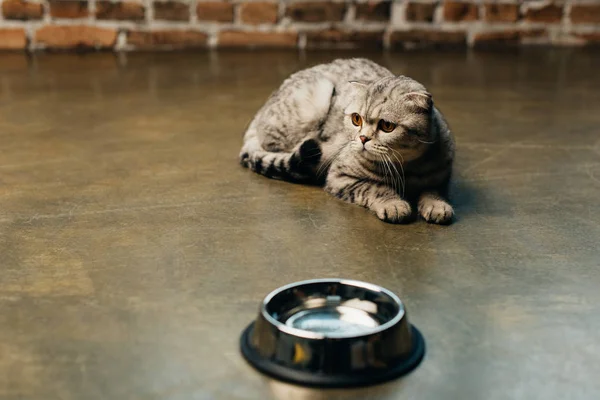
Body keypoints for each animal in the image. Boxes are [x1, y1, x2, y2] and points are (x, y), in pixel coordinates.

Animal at [239, 57, 454, 223]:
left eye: (387, 126)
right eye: (356, 119)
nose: (363, 138)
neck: (406, 168)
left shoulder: (442, 177)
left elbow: (433, 190)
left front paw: (437, 205)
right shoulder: (340, 176)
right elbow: (375, 188)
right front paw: (394, 204)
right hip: (315, 99)